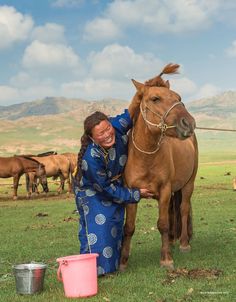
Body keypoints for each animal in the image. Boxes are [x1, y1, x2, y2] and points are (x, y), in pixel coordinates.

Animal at [119, 63, 198, 268]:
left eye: (179, 98)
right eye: (155, 98)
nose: (189, 123)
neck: (146, 156)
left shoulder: (164, 190)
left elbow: (162, 224)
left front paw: (166, 259)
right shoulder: (131, 191)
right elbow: (129, 227)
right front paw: (123, 261)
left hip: (188, 185)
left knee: (183, 210)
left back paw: (183, 243)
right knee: (172, 213)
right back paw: (171, 241)